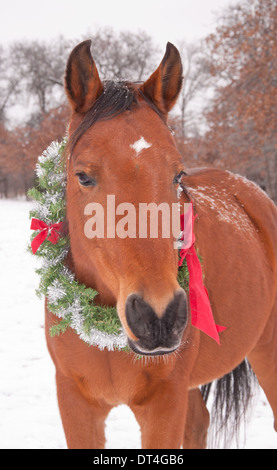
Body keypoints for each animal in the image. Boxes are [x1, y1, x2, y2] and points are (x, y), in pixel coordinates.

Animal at [45, 40, 276, 448]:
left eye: (177, 174)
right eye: (83, 176)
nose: (158, 316)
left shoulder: (163, 405)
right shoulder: (75, 402)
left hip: (268, 352)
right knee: (199, 423)